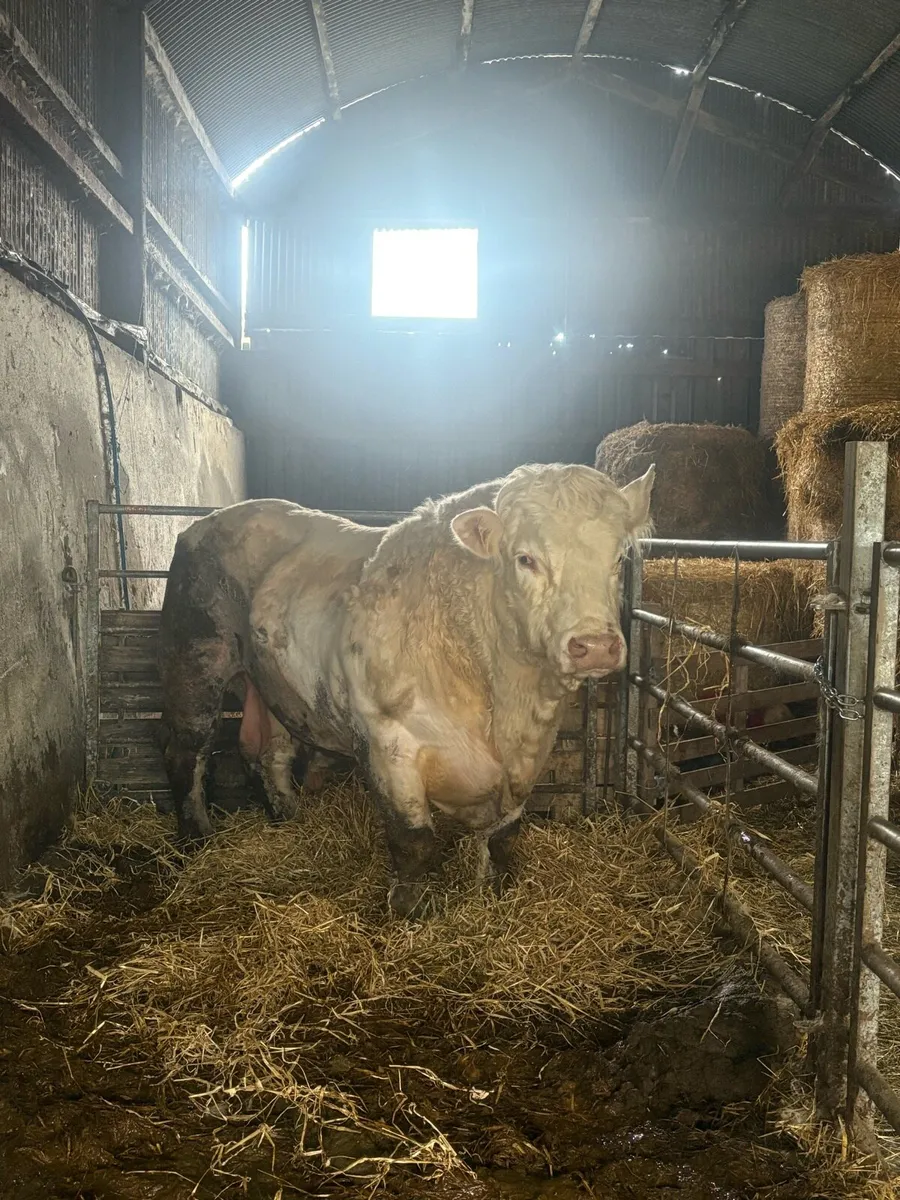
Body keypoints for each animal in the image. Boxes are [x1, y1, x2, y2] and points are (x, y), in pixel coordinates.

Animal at [158, 463, 655, 916]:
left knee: (268, 753)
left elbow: (503, 836)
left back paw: (288, 816)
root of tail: (208, 522)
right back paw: (197, 839)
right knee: (186, 753)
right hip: (195, 658)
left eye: (618, 560)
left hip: (274, 685)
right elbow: (413, 839)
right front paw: (411, 910)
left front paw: (496, 893)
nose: (595, 645)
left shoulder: (530, 758)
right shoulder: (388, 743)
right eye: (525, 559)